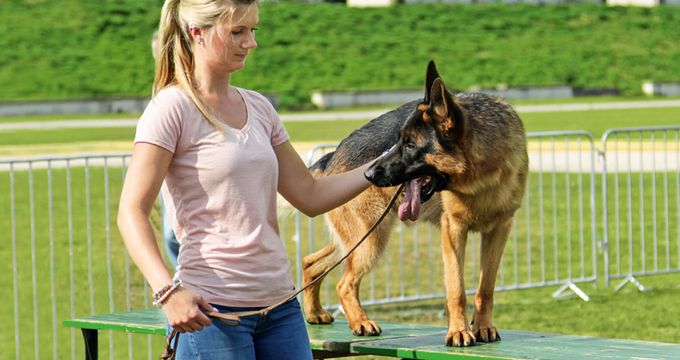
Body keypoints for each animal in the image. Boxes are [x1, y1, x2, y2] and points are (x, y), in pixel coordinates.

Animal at [304, 60, 532, 348]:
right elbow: (456, 289)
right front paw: (459, 331)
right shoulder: (453, 230)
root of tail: (334, 153)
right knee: (344, 283)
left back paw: (314, 313)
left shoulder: (499, 230)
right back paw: (360, 323)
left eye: (410, 144)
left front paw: (482, 327)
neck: (481, 178)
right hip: (371, 239)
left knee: (311, 262)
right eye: (397, 141)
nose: (367, 174)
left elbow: (486, 288)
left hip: (358, 239)